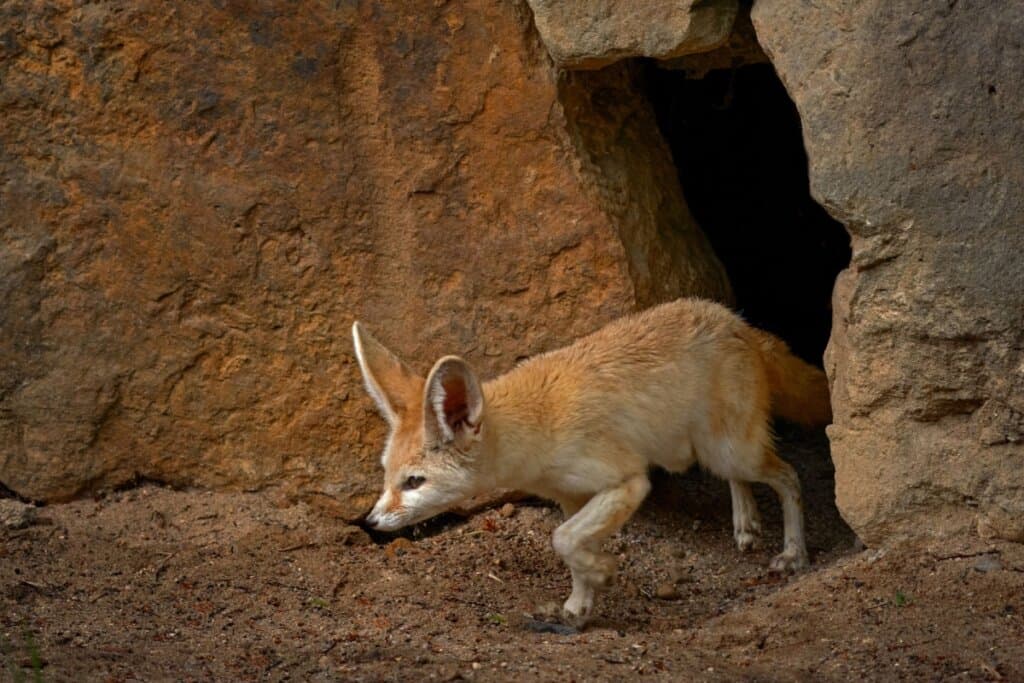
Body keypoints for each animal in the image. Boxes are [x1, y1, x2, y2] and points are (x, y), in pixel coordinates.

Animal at [353, 297, 831, 628]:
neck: (539, 424)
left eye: (414, 482)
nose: (370, 522)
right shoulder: (572, 497)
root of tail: (737, 320)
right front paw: (579, 607)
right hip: (708, 452)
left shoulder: (627, 482)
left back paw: (793, 553)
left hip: (730, 450)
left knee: (788, 477)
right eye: (387, 477)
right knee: (742, 479)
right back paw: (746, 523)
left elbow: (563, 540)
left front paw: (601, 574)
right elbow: (570, 546)